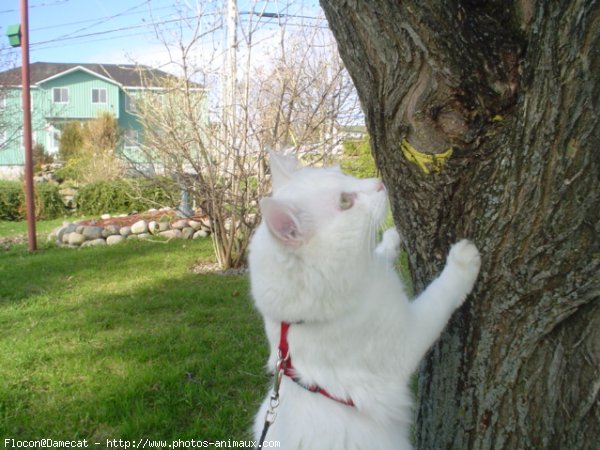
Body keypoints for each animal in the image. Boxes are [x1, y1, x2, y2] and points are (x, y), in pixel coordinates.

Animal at [250, 153, 482, 448]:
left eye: (344, 175)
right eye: (345, 201)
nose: (379, 183)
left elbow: (381, 251)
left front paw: (391, 238)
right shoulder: (406, 339)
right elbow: (441, 294)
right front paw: (463, 261)